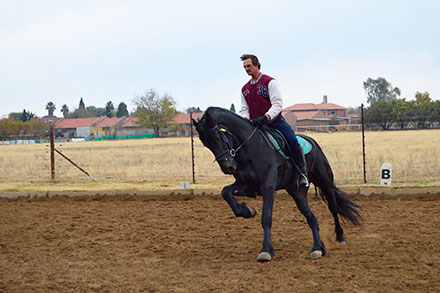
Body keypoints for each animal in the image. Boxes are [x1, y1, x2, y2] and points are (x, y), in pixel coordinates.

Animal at [193, 106, 360, 260]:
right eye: (205, 143)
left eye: (217, 137)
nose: (228, 167)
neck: (250, 147)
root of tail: (311, 140)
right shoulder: (246, 186)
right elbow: (225, 192)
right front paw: (247, 210)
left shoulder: (268, 187)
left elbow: (266, 218)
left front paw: (266, 250)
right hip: (296, 191)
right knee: (311, 217)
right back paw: (318, 248)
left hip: (325, 182)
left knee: (333, 208)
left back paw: (340, 238)